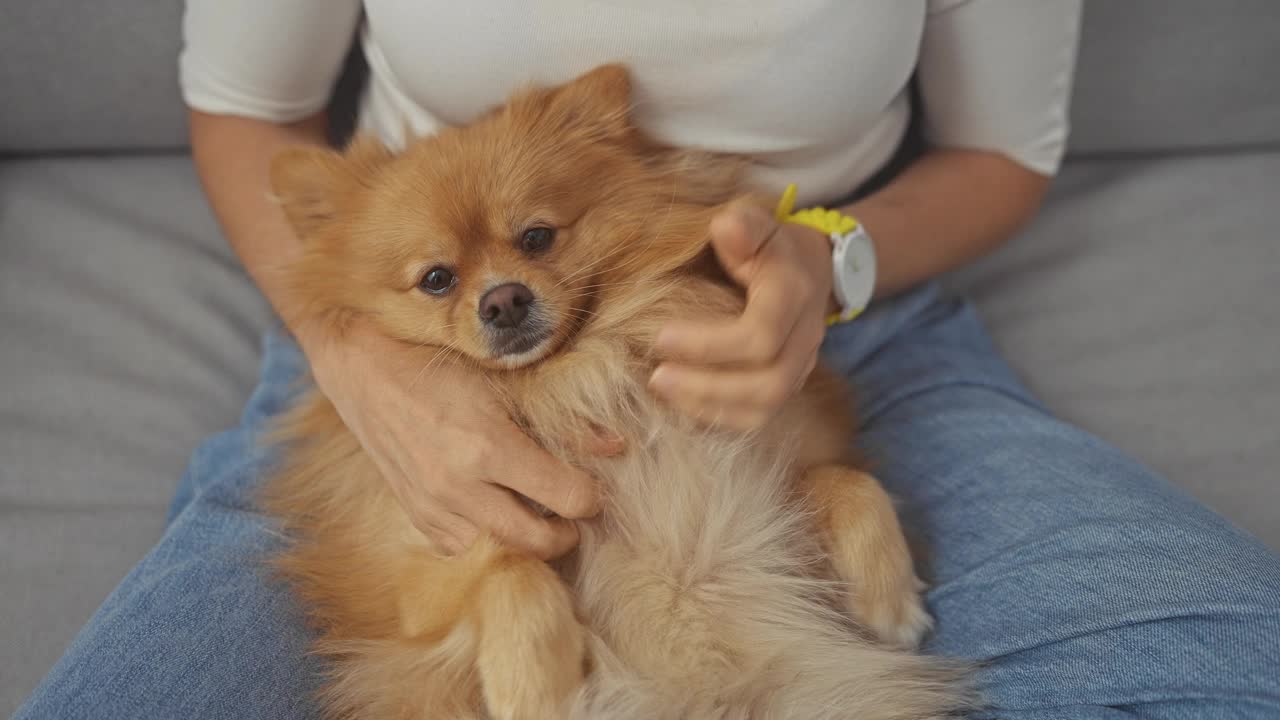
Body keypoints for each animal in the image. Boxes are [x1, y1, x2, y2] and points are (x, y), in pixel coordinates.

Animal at [270, 64, 967, 712]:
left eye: (537, 238)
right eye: (437, 279)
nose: (503, 300)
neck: (575, 376)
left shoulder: (766, 471)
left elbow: (848, 481)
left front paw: (890, 600)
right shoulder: (410, 575)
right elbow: (507, 566)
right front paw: (536, 686)